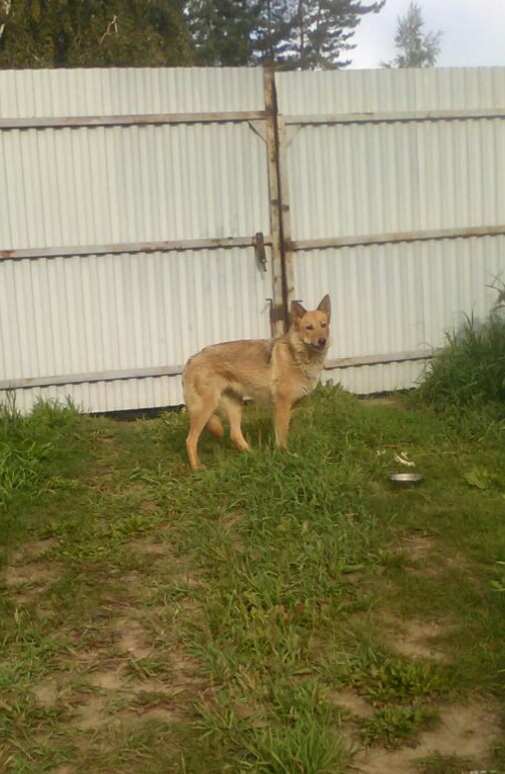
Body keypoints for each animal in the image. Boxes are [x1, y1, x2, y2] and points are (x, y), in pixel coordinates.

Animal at [182, 295, 331, 470]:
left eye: (323, 325)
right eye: (309, 327)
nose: (322, 341)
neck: (298, 355)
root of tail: (190, 360)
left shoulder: (290, 407)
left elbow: (283, 433)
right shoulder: (282, 406)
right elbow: (281, 436)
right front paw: (286, 457)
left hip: (236, 406)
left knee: (234, 434)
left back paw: (253, 455)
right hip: (206, 408)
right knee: (190, 440)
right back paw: (197, 468)